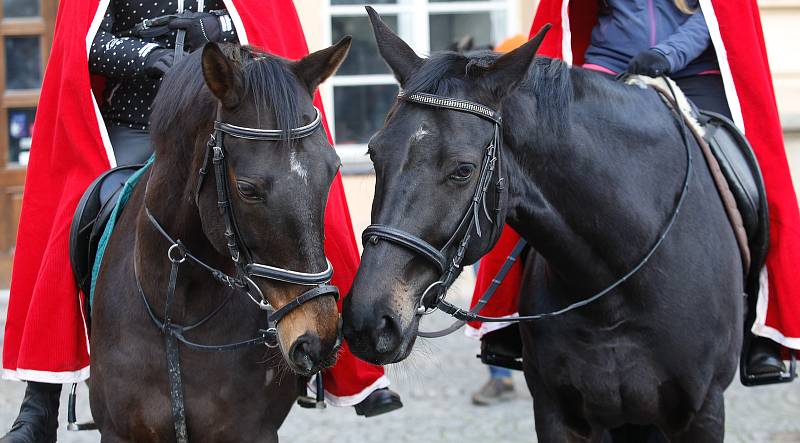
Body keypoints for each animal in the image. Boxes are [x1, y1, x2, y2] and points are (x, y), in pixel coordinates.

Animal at [88, 40, 350, 442]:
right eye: (248, 189)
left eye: (333, 169)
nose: (317, 336)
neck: (175, 315)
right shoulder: (119, 432)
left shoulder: (253, 432)